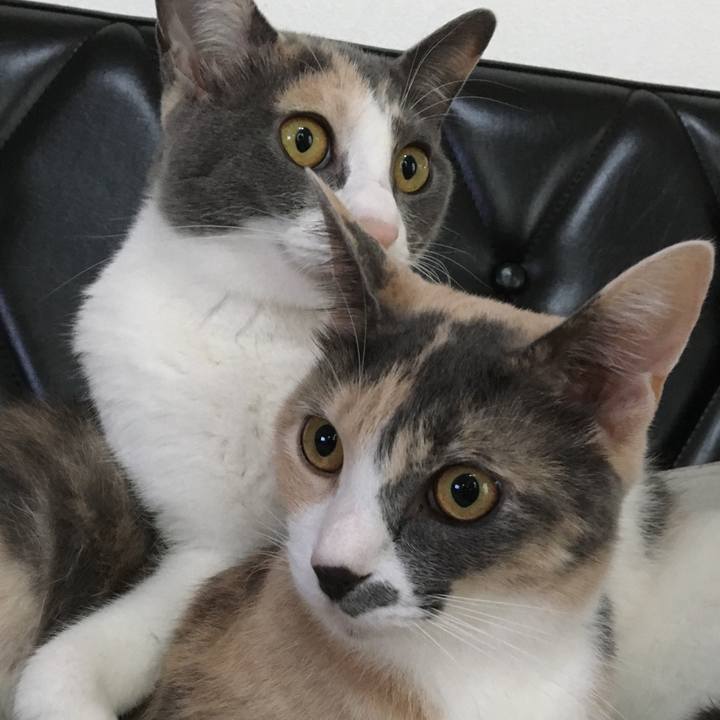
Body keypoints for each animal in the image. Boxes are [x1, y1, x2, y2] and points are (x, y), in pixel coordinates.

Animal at [8, 2, 497, 719]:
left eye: (411, 166)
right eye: (304, 139)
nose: (378, 231)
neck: (270, 329)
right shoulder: (200, 544)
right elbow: (59, 666)